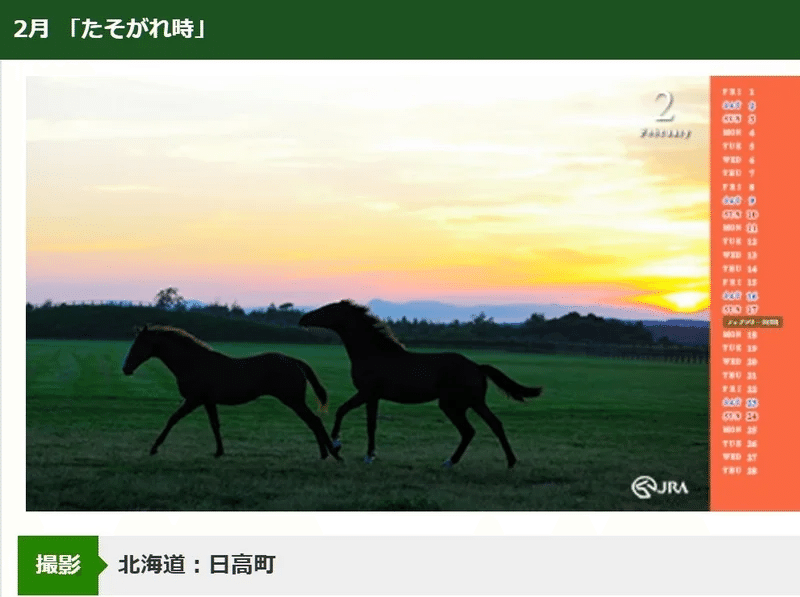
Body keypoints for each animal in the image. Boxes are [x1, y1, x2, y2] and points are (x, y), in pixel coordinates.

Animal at [121, 324, 341, 461]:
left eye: (139, 344)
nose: (126, 368)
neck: (193, 362)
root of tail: (294, 361)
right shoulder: (207, 401)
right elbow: (215, 425)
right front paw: (219, 451)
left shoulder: (193, 400)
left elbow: (172, 419)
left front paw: (154, 447)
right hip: (294, 401)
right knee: (313, 422)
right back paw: (325, 453)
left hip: (293, 400)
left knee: (315, 421)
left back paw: (333, 453)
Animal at [299, 300, 543, 468]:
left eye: (328, 309)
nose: (303, 319)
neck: (373, 353)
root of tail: (476, 366)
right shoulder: (373, 396)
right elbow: (371, 424)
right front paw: (369, 455)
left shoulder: (366, 392)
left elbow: (342, 410)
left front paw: (337, 444)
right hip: (473, 403)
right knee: (493, 425)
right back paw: (509, 462)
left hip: (453, 405)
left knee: (470, 430)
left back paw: (450, 462)